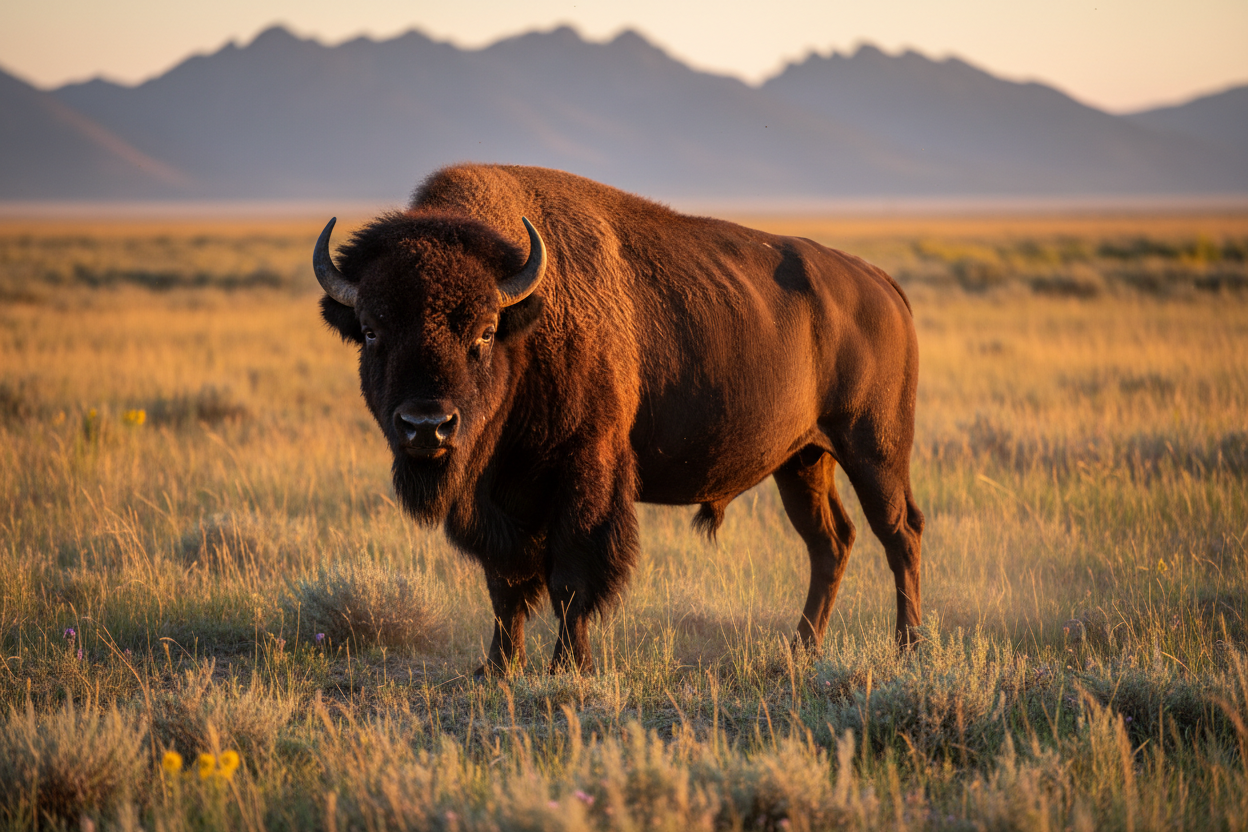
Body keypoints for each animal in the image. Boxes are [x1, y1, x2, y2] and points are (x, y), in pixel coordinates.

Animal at [315, 164, 924, 674]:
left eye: (484, 332)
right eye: (371, 331)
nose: (427, 426)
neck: (526, 323)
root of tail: (882, 285)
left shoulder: (586, 474)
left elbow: (569, 579)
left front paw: (571, 667)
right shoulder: (495, 500)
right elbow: (505, 585)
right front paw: (497, 669)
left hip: (874, 450)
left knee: (899, 533)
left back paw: (907, 648)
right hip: (803, 460)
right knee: (831, 542)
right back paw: (800, 650)